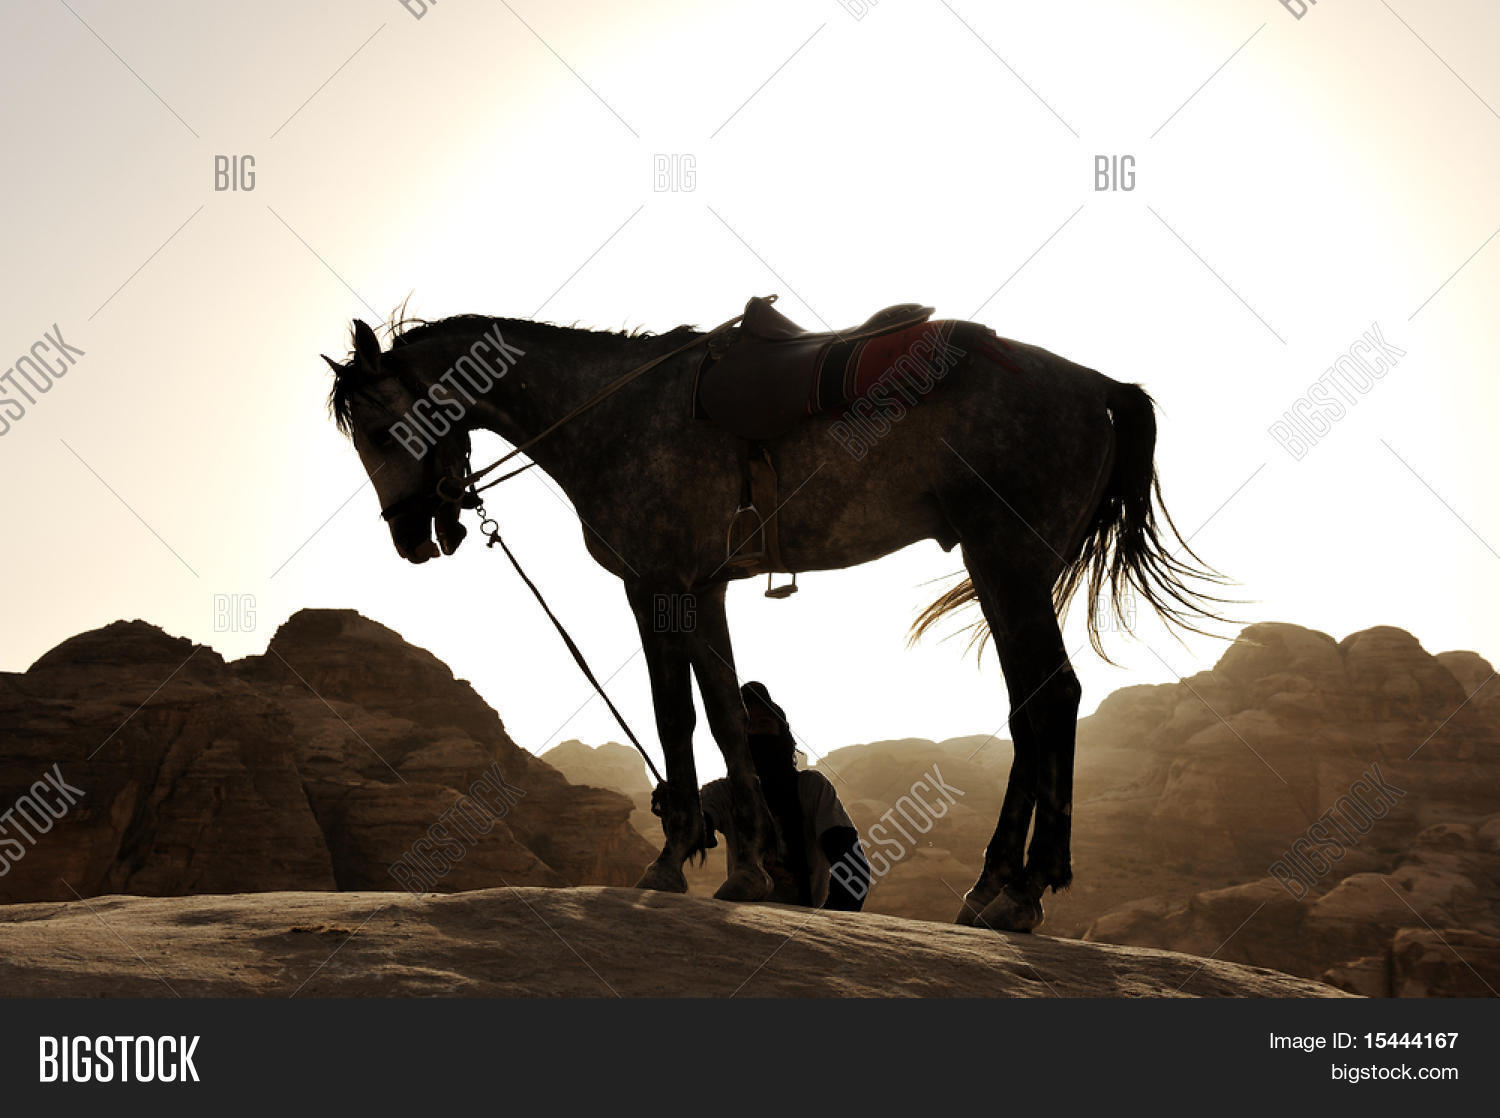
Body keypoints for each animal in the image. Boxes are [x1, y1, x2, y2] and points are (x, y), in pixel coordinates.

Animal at [322, 305, 1224, 932]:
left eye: (381, 428)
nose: (412, 536)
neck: (611, 411)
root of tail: (1098, 388)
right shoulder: (707, 588)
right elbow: (724, 716)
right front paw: (746, 866)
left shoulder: (655, 585)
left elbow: (676, 716)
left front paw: (674, 858)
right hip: (1005, 568)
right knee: (1035, 705)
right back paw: (998, 887)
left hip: (1006, 561)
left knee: (1051, 697)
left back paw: (1020, 890)